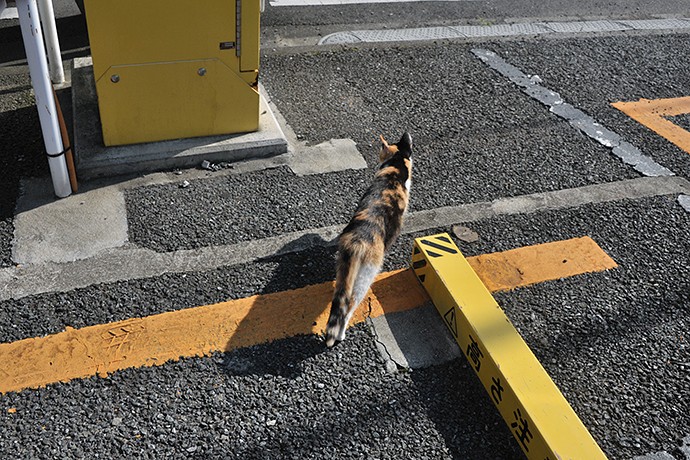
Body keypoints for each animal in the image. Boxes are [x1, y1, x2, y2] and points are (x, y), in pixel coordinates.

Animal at [324, 131, 412, 346]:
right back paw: (341, 335)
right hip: (367, 274)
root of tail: (358, 239)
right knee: (349, 306)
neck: (394, 170)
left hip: (344, 268)